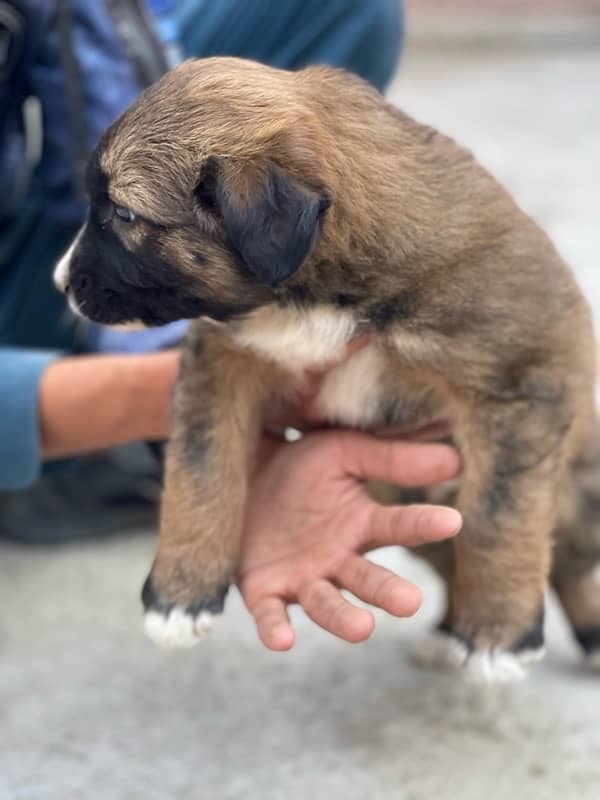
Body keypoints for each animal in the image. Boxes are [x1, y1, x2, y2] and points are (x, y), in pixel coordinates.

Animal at [55, 56, 600, 680]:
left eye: (123, 214)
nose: (60, 282)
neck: (313, 293)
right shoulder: (220, 360)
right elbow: (200, 467)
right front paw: (179, 594)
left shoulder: (521, 378)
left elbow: (498, 514)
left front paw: (497, 637)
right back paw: (445, 632)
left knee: (572, 559)